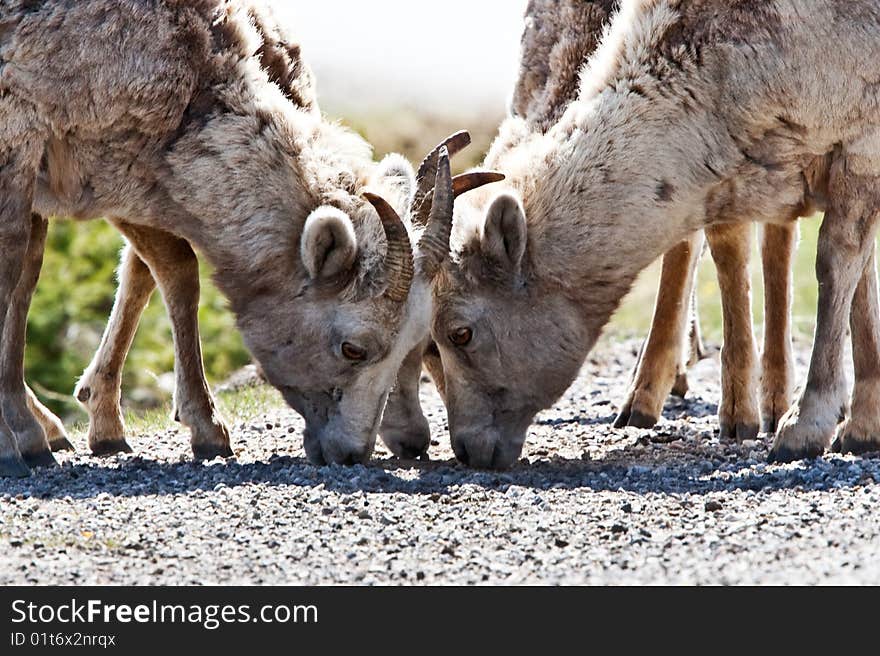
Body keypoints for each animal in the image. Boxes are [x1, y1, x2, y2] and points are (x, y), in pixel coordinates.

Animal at [0, 0, 502, 474]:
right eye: (352, 348)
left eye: (422, 344)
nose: (352, 454)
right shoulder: (39, 152)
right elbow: (22, 278)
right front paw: (21, 446)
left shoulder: (115, 177)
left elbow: (151, 272)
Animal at [430, 1, 880, 472]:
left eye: (460, 333)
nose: (468, 450)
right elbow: (858, 279)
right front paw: (864, 428)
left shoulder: (859, 145)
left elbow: (837, 268)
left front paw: (805, 429)